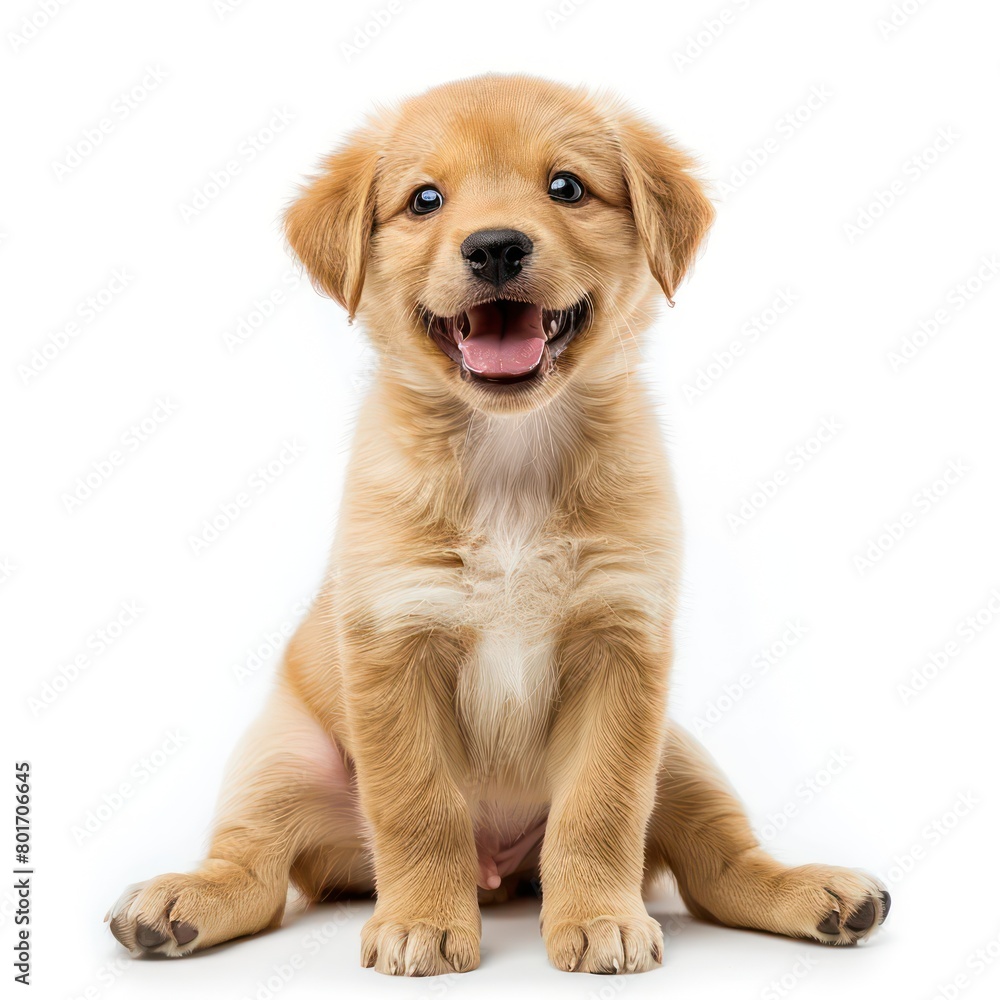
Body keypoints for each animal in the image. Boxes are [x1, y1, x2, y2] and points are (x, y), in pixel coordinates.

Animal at [107, 76, 892, 976]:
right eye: (425, 199)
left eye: (566, 187)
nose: (494, 249)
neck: (511, 454)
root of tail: (500, 874)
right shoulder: (394, 644)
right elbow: (418, 806)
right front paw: (421, 920)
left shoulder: (623, 651)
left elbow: (601, 808)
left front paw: (599, 917)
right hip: (279, 757)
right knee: (257, 869)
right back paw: (180, 902)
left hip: (680, 752)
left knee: (722, 864)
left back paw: (817, 892)